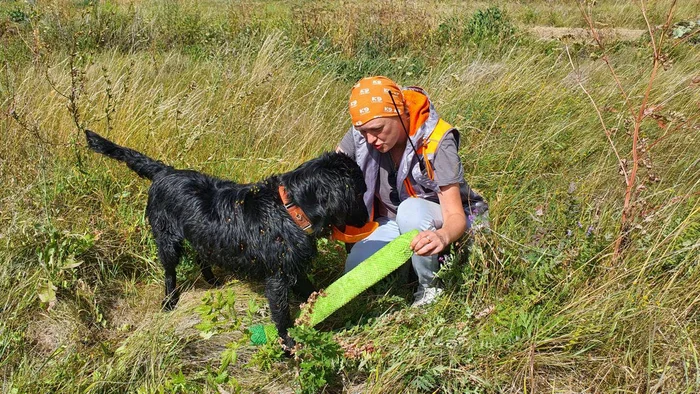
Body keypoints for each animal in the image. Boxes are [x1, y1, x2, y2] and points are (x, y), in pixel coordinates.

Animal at [85, 130, 370, 348]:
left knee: (201, 256)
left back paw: (212, 280)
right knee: (169, 272)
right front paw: (288, 343)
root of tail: (165, 171)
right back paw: (170, 301)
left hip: (201, 236)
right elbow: (282, 315)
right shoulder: (278, 277)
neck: (290, 209)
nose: (368, 219)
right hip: (167, 240)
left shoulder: (294, 268)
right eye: (360, 192)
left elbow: (310, 291)